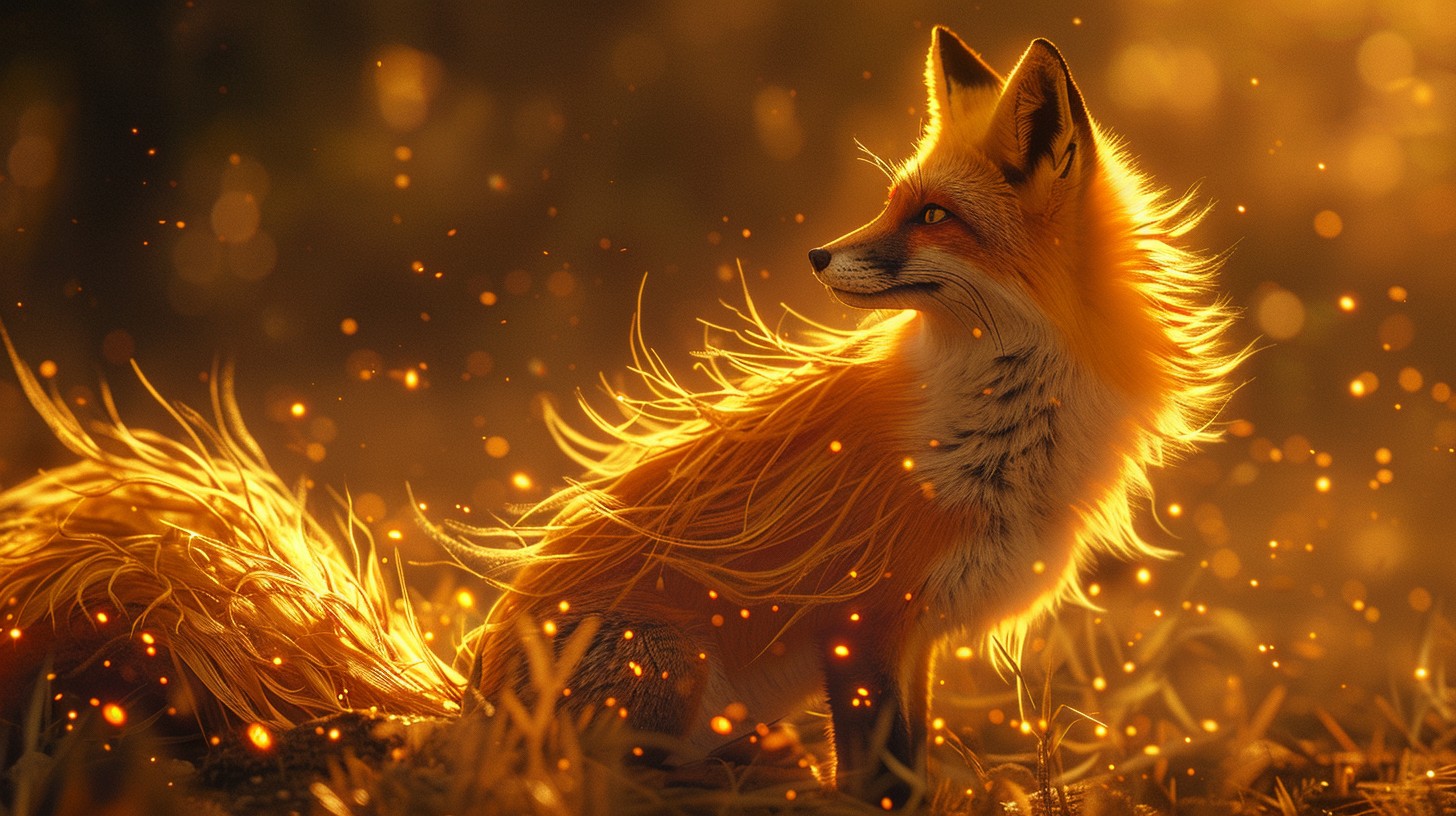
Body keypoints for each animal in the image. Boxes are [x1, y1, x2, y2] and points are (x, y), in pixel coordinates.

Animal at [436, 26, 1243, 809]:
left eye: (934, 216)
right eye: (891, 204)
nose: (818, 255)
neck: (998, 425)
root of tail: (471, 708)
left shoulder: (912, 633)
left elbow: (904, 765)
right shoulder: (861, 620)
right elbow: (884, 775)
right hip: (667, 661)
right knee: (607, 776)